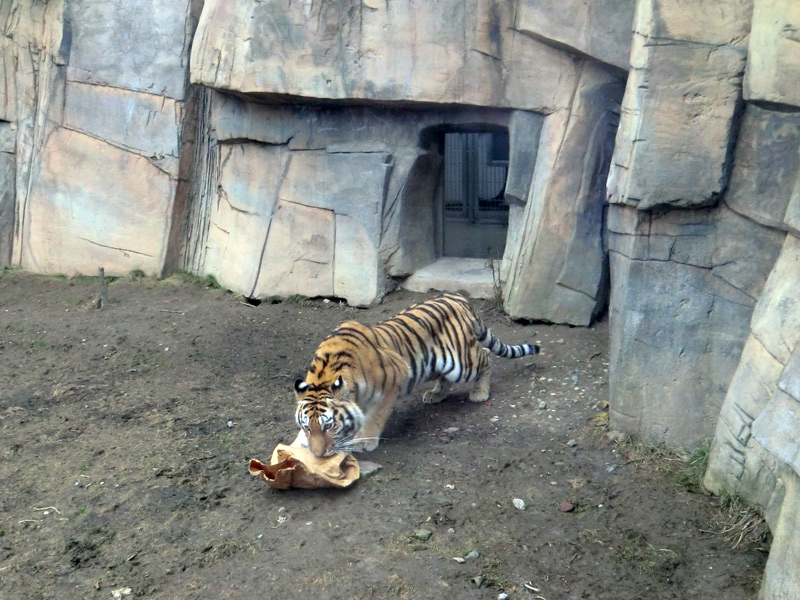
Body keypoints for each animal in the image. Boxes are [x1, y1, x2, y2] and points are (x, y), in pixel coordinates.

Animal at [294, 292, 536, 458]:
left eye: (329, 426)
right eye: (307, 427)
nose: (318, 455)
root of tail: (457, 297)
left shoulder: (392, 382)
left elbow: (374, 416)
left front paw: (364, 441)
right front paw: (300, 443)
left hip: (461, 361)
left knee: (485, 355)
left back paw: (480, 392)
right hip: (439, 363)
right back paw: (435, 394)